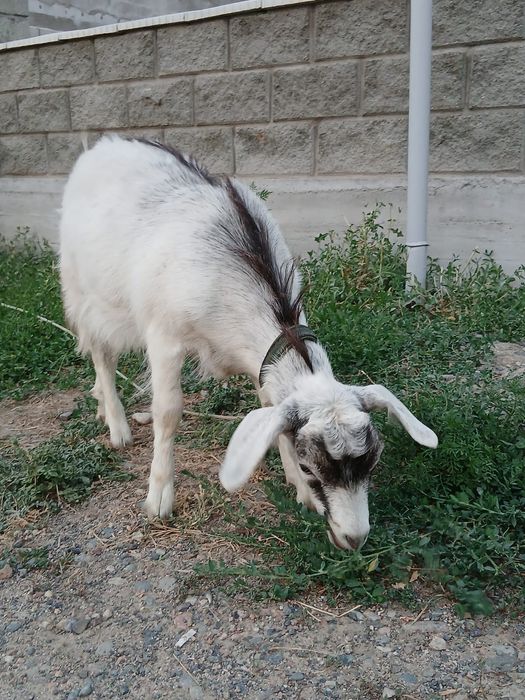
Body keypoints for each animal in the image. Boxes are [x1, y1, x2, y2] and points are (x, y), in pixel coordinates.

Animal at [59, 135, 437, 551]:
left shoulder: (263, 364)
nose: (354, 539)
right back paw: (117, 425)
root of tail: (102, 145)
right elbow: (168, 411)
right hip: (82, 291)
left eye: (372, 462)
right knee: (101, 354)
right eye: (311, 467)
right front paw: (159, 497)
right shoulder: (164, 336)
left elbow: (270, 404)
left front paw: (299, 492)